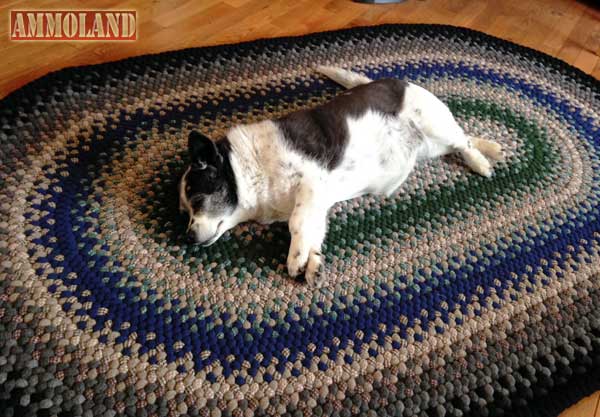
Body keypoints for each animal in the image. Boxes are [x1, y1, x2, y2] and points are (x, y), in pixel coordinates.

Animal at [179, 66, 502, 286]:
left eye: (198, 198)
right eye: (184, 212)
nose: (188, 237)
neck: (249, 169)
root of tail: (399, 81)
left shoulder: (311, 182)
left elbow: (297, 223)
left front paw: (296, 257)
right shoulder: (317, 202)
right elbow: (311, 230)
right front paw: (312, 261)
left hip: (434, 127)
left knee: (463, 141)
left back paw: (481, 162)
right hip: (431, 146)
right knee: (463, 139)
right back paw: (492, 147)